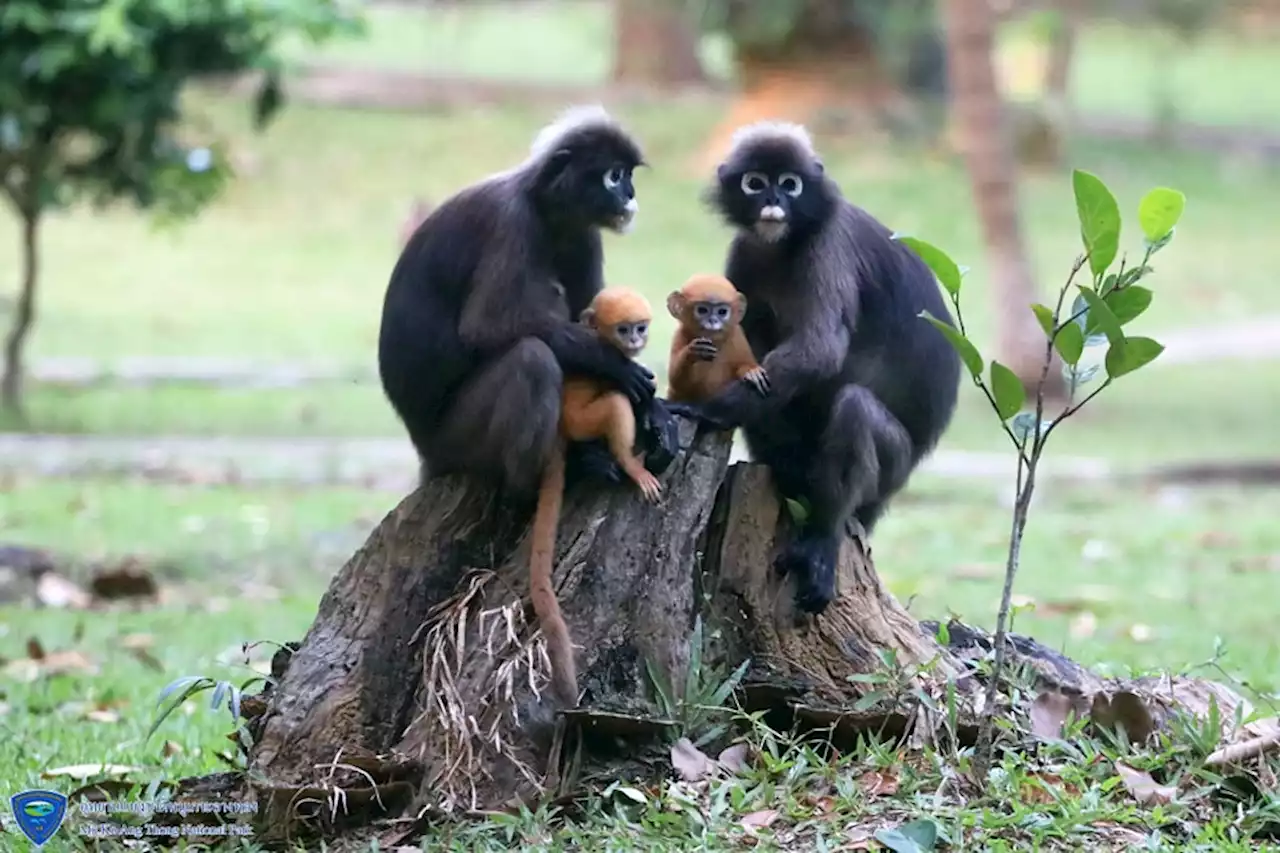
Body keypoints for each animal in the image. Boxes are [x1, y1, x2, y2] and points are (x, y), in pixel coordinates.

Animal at [524, 285, 660, 701]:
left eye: (640, 327)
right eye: (624, 329)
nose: (635, 340)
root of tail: (559, 428)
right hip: (581, 419)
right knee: (616, 400)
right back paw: (629, 463)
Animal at [665, 274, 762, 404]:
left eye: (722, 312)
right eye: (702, 310)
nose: (713, 321)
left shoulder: (737, 336)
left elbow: (744, 363)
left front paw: (751, 371)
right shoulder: (680, 335)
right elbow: (677, 383)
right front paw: (693, 352)